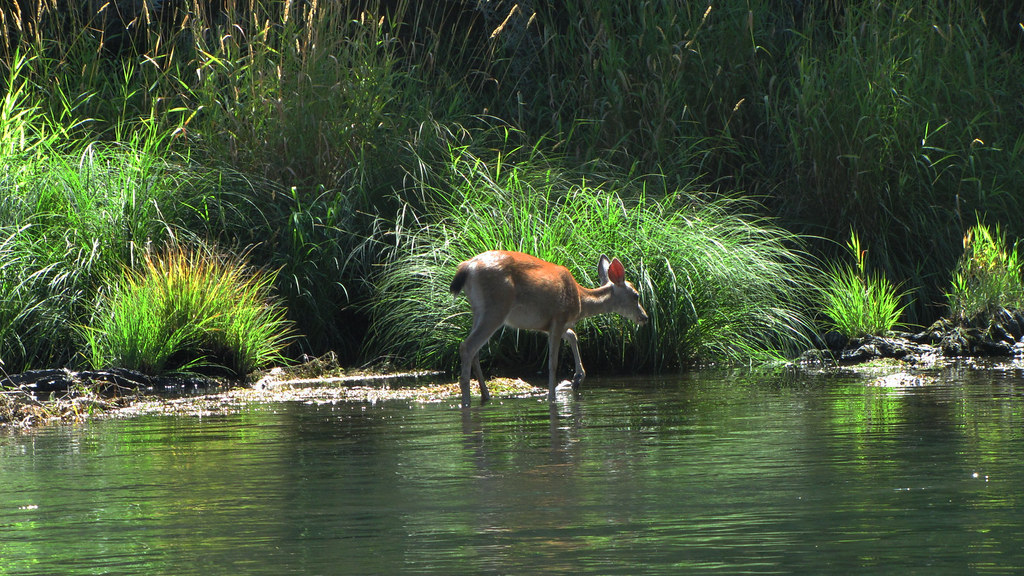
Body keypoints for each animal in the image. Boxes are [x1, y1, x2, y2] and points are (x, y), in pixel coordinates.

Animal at [448, 249, 647, 405]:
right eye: (636, 295)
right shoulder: (559, 317)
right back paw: (466, 401)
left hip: (478, 311)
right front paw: (552, 397)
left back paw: (486, 395)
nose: (644, 317)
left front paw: (578, 378)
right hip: (496, 307)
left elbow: (572, 335)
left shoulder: (548, 325)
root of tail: (468, 267)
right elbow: (553, 363)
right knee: (467, 346)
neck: (580, 300)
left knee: (474, 350)